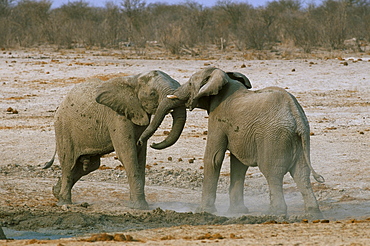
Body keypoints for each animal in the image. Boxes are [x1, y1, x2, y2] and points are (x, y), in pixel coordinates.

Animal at [43, 69, 186, 209]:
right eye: (152, 94)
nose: (151, 143)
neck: (135, 79)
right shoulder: (117, 116)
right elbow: (127, 154)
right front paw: (140, 207)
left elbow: (140, 156)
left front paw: (135, 204)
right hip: (63, 128)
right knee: (69, 163)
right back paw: (64, 202)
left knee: (90, 166)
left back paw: (56, 192)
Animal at [138, 67, 324, 217]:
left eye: (190, 83)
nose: (143, 143)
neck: (224, 79)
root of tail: (296, 115)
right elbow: (239, 164)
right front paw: (236, 212)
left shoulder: (218, 117)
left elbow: (213, 158)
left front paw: (203, 211)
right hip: (298, 139)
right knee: (301, 174)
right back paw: (313, 213)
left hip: (274, 137)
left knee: (273, 173)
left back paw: (274, 213)